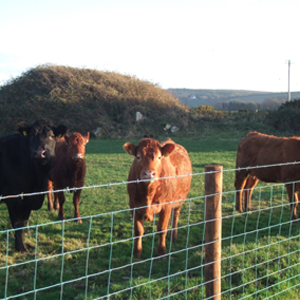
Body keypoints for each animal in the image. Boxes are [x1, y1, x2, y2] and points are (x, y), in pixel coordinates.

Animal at [0, 118, 67, 252]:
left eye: (52, 136)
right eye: (31, 136)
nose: (40, 153)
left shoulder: (28, 201)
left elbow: (24, 223)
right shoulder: (13, 199)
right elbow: (18, 224)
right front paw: (21, 249)